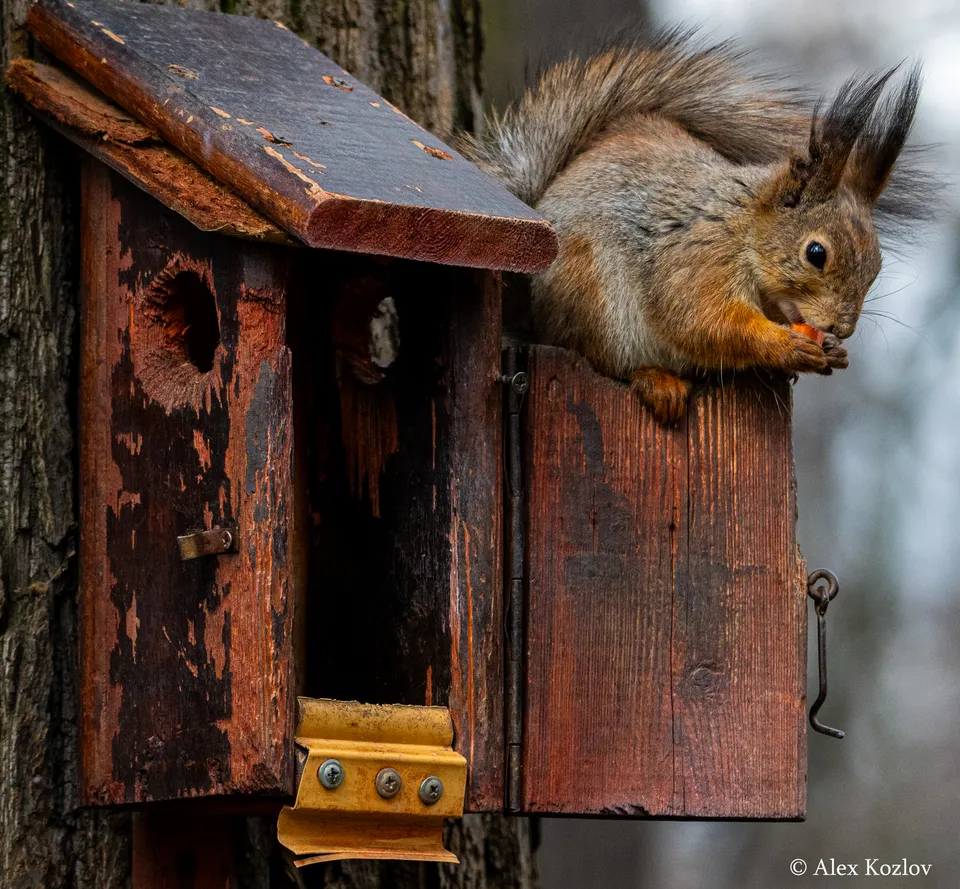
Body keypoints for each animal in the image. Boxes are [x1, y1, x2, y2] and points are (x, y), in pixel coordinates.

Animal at [463, 32, 930, 423]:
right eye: (816, 254)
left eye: (877, 266)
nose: (842, 328)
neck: (745, 227)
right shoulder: (698, 255)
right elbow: (702, 322)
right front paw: (785, 347)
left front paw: (835, 353)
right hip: (592, 295)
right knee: (604, 361)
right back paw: (656, 380)